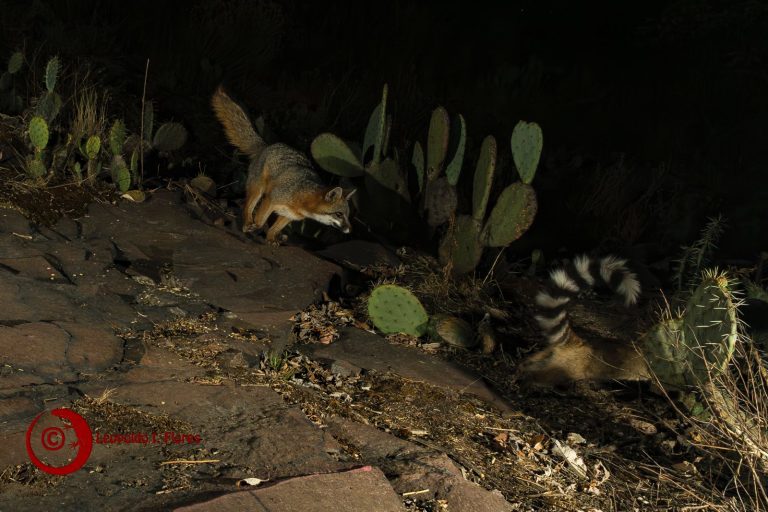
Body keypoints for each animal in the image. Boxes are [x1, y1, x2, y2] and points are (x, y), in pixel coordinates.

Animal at [211, 86, 356, 244]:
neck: (302, 198)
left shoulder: (289, 215)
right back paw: (247, 222)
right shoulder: (271, 199)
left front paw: (271, 239)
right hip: (258, 189)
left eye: (347, 215)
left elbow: (275, 228)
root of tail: (267, 145)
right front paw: (255, 227)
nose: (350, 230)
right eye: (339, 214)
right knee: (247, 206)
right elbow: (260, 221)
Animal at [517, 255, 651, 386]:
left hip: (552, 354)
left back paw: (523, 366)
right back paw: (531, 379)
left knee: (534, 360)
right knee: (548, 375)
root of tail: (579, 342)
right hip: (570, 366)